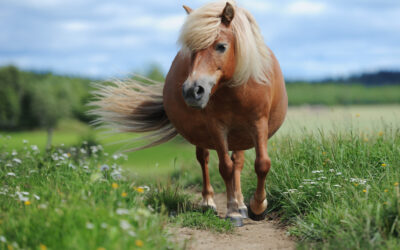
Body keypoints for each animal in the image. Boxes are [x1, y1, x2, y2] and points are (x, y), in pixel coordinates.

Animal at [93, 0, 288, 227]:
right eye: (192, 50)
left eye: (221, 46)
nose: (192, 91)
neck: (236, 89)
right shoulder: (217, 127)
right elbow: (225, 167)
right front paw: (233, 212)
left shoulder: (258, 123)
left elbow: (262, 164)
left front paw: (257, 207)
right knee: (205, 160)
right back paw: (209, 203)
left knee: (238, 162)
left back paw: (241, 204)